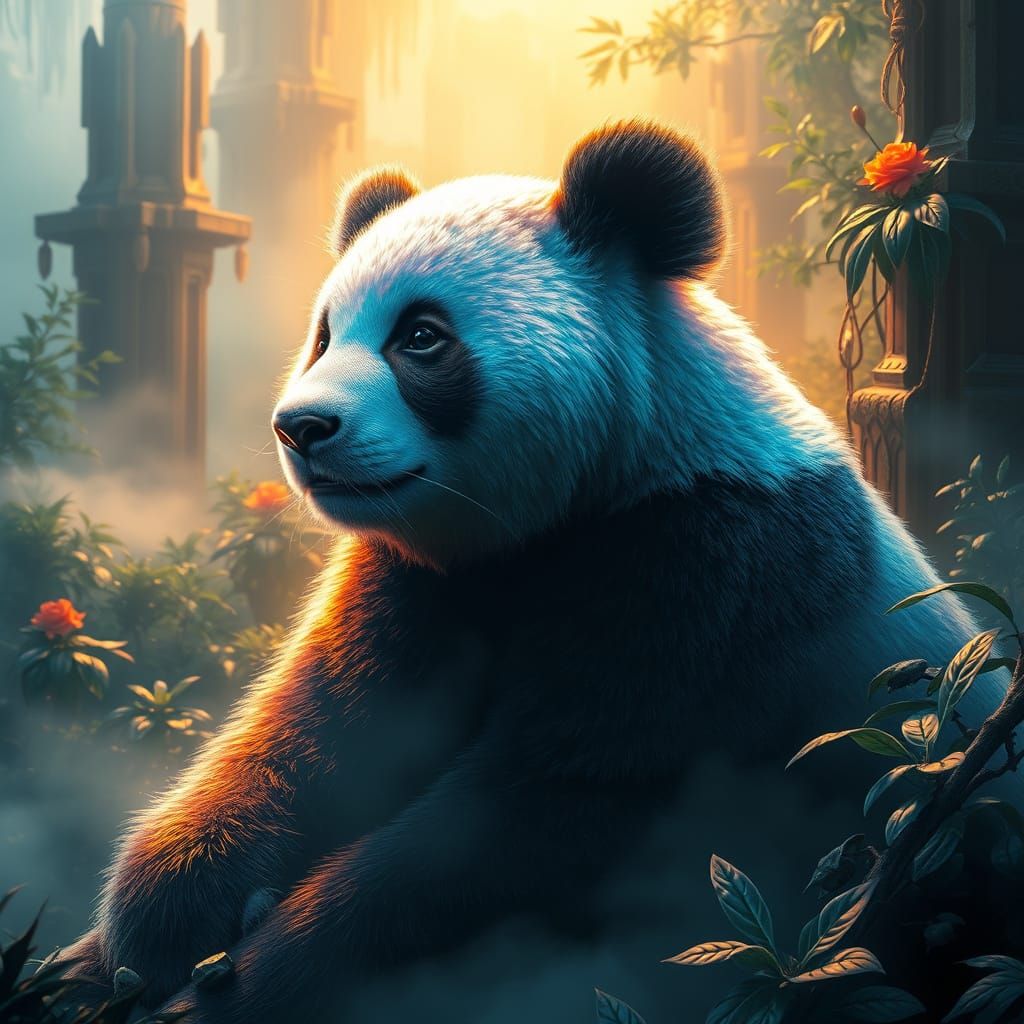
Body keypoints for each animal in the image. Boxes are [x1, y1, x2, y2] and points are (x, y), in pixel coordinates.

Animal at [56, 121, 1004, 1023]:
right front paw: (163, 917)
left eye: (421, 337)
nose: (303, 427)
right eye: (324, 333)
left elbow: (537, 824)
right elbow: (325, 727)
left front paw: (252, 980)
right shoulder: (418, 581)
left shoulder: (712, 577)